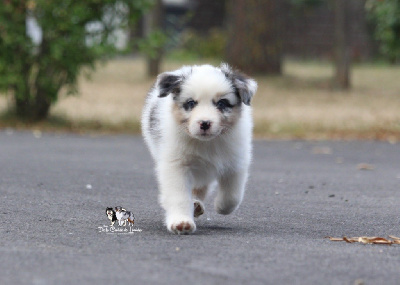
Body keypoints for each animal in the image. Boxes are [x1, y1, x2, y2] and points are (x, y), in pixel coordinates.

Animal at [142, 62, 258, 233]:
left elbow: (232, 195)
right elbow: (178, 195)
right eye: (191, 103)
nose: (204, 123)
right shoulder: (176, 165)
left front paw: (222, 207)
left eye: (222, 103)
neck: (206, 143)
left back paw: (197, 204)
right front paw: (181, 222)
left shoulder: (236, 161)